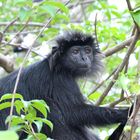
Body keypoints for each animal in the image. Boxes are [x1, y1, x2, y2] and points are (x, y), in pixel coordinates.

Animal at [0, 31, 128, 139]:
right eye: (75, 52)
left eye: (88, 51)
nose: (84, 58)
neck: (57, 66)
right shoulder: (61, 80)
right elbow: (73, 113)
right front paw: (125, 113)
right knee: (49, 105)